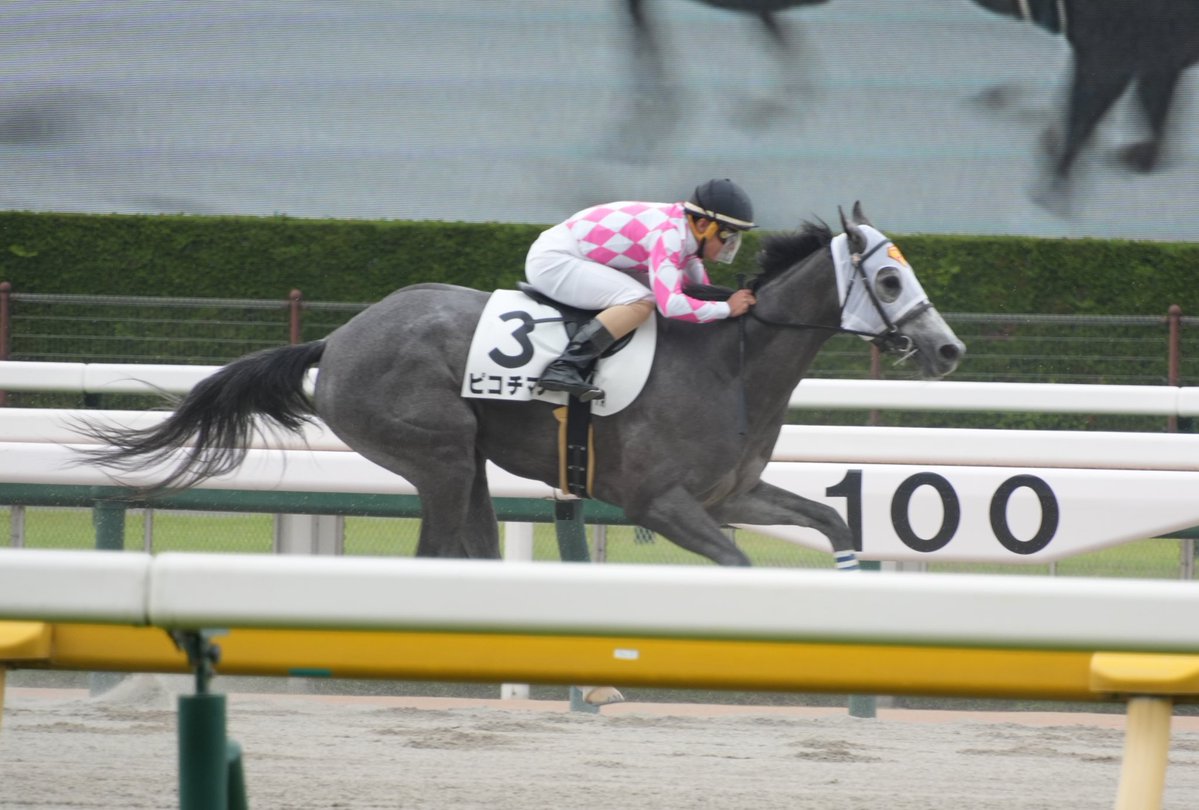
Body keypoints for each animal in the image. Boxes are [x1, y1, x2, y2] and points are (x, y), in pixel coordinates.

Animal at [77, 204, 964, 569]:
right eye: (889, 279)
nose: (947, 348)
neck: (734, 364)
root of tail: (341, 335)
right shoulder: (658, 504)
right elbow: (737, 564)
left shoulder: (727, 494)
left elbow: (831, 521)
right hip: (434, 454)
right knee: (435, 554)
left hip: (465, 460)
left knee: (471, 548)